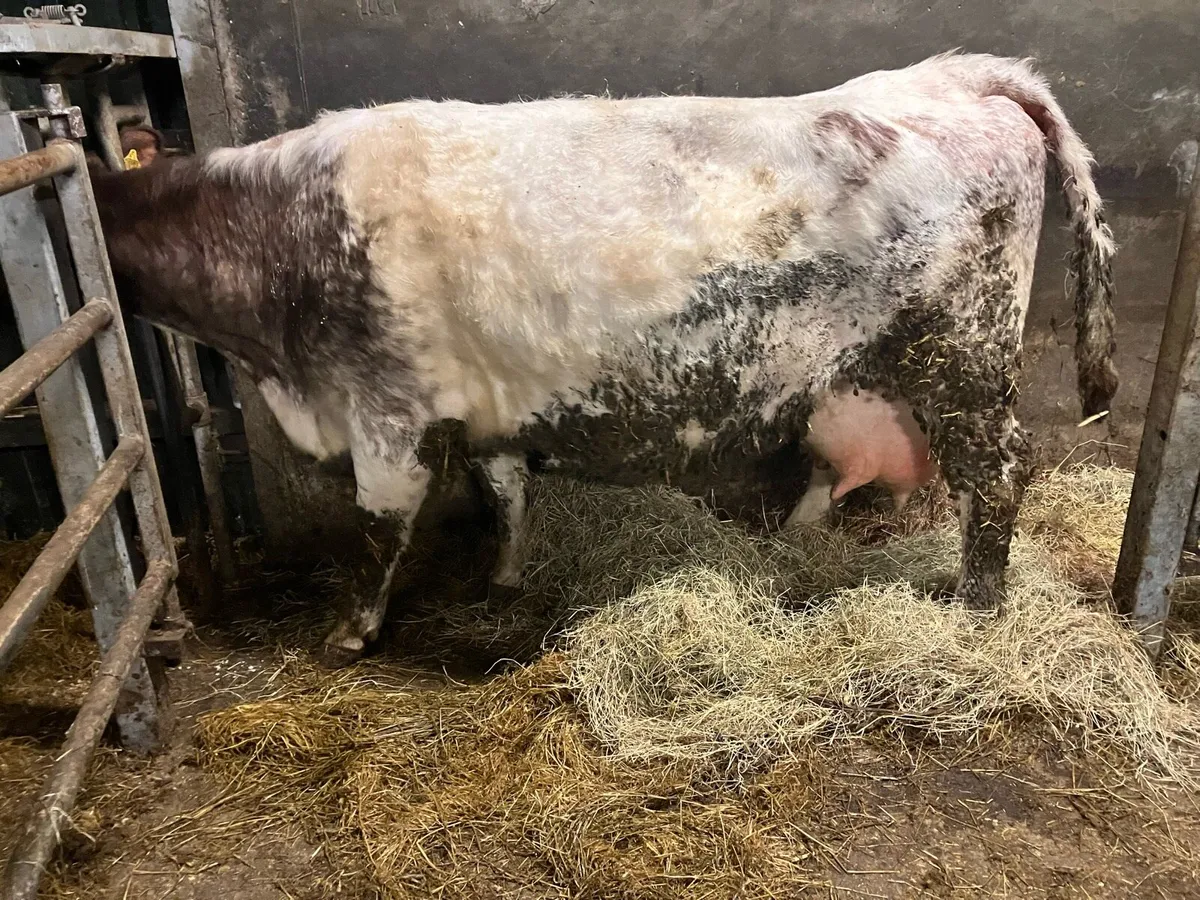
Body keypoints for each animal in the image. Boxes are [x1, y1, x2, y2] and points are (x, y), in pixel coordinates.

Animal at [87, 52, 1117, 666]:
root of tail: (950, 74)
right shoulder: (487, 403)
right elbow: (504, 494)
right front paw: (504, 580)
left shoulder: (387, 409)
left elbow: (382, 533)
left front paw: (348, 632)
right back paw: (792, 546)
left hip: (965, 362)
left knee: (997, 476)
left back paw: (976, 606)